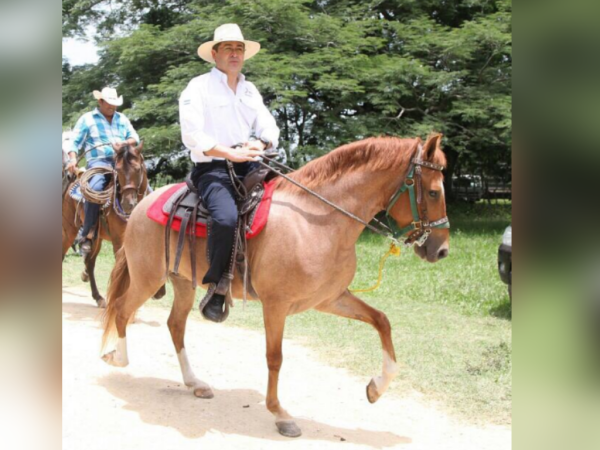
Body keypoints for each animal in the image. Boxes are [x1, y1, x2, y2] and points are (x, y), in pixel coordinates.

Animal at [102, 134, 450, 436]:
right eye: (434, 192)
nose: (442, 250)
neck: (317, 220)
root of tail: (140, 206)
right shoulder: (276, 305)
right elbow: (275, 357)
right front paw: (280, 414)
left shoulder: (330, 298)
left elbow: (381, 320)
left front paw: (378, 386)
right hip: (148, 277)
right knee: (121, 308)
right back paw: (118, 358)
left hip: (183, 282)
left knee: (175, 325)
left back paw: (194, 383)